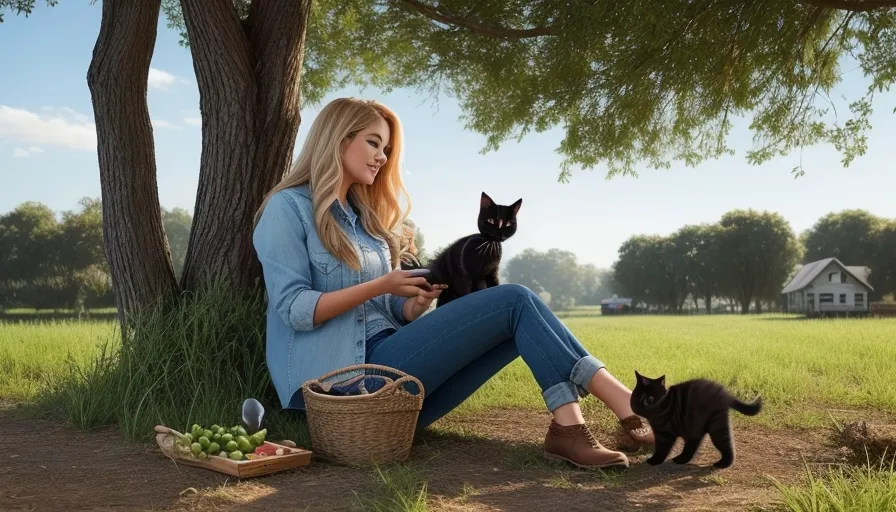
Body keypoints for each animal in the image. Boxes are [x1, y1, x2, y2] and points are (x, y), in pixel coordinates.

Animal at [632, 370, 764, 470]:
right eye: (637, 396)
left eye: (650, 398)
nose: (641, 406)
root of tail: (726, 394)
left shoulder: (664, 434)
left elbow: (661, 449)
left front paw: (654, 461)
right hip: (696, 427)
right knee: (693, 444)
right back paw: (681, 459)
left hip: (716, 425)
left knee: (726, 445)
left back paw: (723, 464)